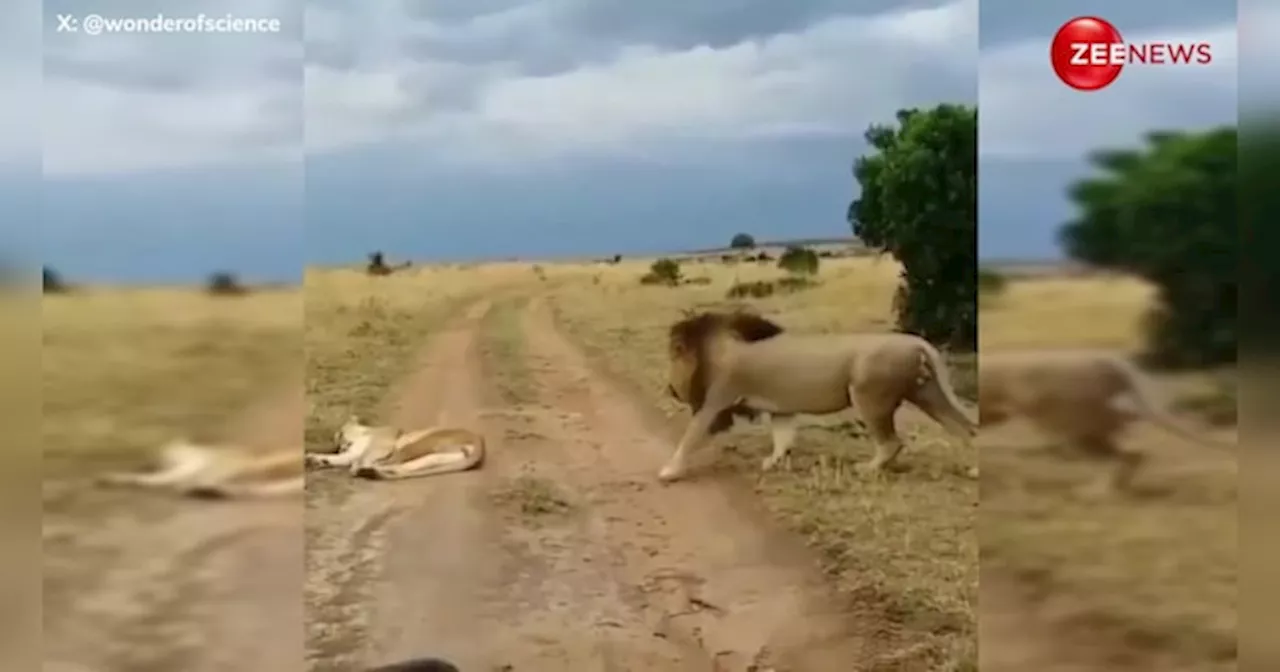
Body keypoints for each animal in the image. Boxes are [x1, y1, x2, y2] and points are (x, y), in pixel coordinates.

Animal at [307, 414, 486, 481]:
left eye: (339, 433)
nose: (338, 444)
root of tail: (479, 441)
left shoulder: (382, 445)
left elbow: (363, 456)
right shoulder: (350, 454)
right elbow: (335, 458)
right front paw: (313, 458)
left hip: (417, 444)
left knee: (393, 462)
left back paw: (365, 470)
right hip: (434, 458)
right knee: (401, 467)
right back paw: (371, 471)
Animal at [665, 309, 972, 481]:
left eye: (673, 357)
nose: (669, 389)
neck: (716, 348)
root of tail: (915, 341)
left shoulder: (716, 400)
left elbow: (689, 437)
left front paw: (669, 471)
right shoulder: (781, 409)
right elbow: (782, 439)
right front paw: (771, 463)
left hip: (868, 396)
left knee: (891, 443)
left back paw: (867, 469)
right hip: (926, 393)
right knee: (964, 429)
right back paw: (973, 470)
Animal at [977, 350, 1228, 491]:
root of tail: (1107, 361)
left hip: (1075, 429)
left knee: (1126, 457)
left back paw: (1094, 493)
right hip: (1095, 428)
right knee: (1134, 456)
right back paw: (1112, 490)